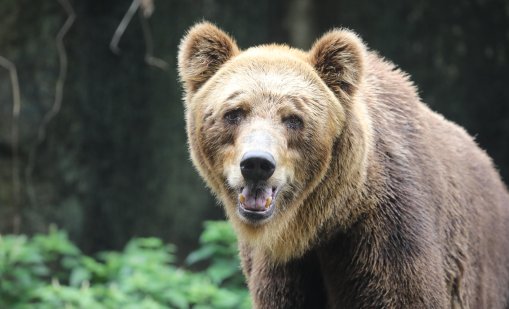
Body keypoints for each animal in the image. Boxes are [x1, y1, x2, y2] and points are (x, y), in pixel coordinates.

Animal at [177, 22, 508, 308]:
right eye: (234, 112)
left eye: (293, 118)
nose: (257, 163)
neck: (316, 225)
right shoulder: (282, 268)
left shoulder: (388, 231)